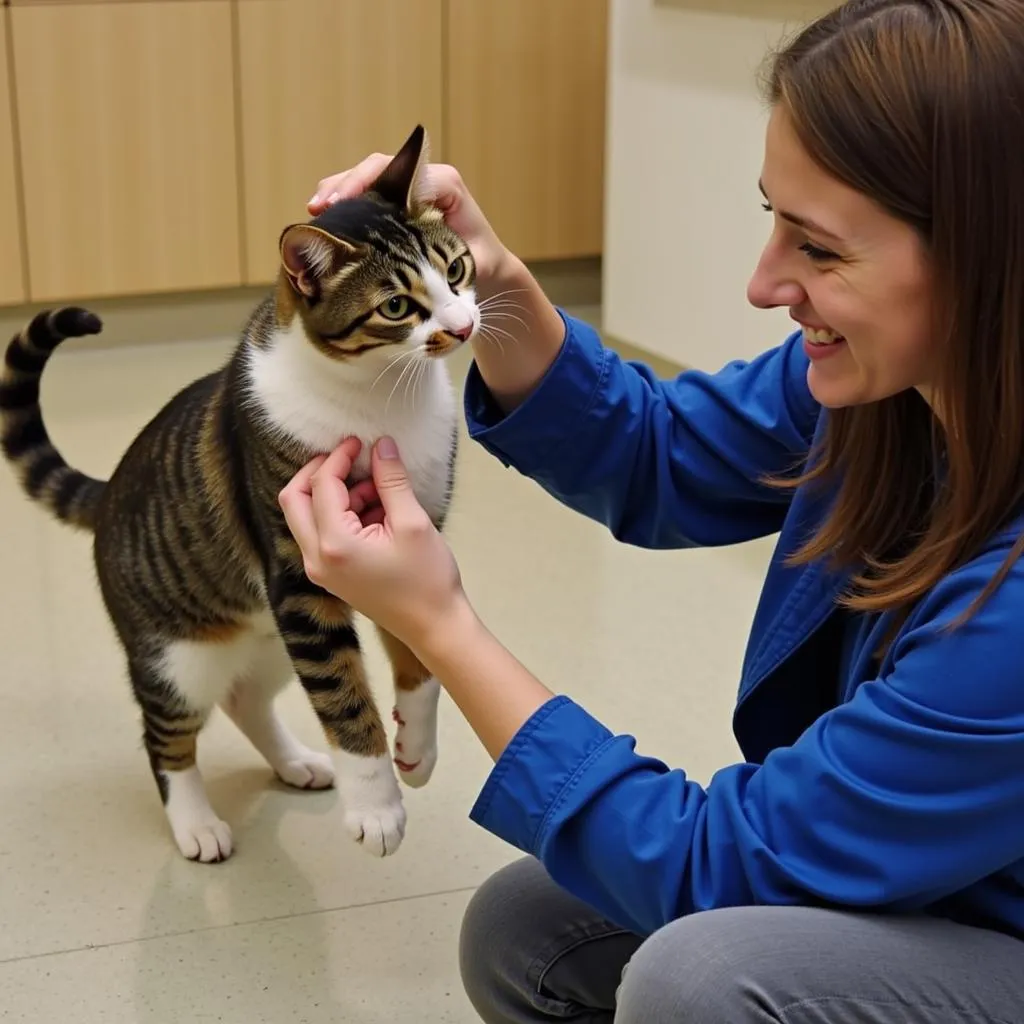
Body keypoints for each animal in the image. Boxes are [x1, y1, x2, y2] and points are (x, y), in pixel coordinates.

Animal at [0, 125, 477, 864]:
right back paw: (197, 823)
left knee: (245, 699)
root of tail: (107, 497)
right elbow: (342, 695)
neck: (383, 399)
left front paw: (418, 750)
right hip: (179, 655)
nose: (461, 327)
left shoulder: (415, 531)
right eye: (397, 306)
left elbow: (420, 655)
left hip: (262, 633)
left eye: (455, 271)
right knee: (167, 734)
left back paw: (297, 763)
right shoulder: (301, 581)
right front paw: (376, 805)